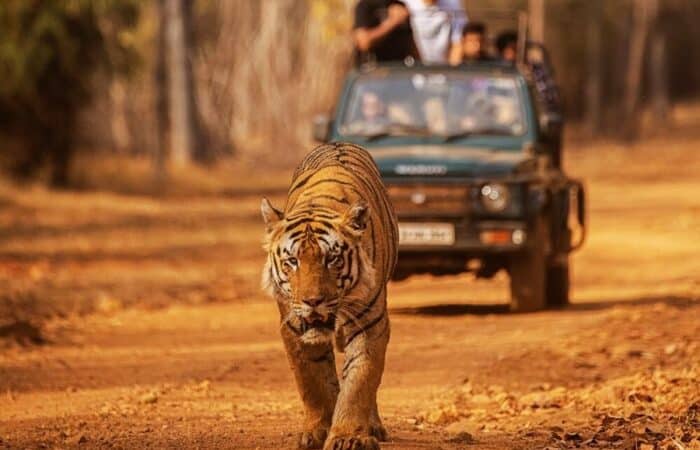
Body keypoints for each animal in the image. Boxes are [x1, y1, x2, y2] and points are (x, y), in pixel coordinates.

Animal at [261, 142, 398, 450]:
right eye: (293, 261)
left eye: (332, 259)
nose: (313, 301)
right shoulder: (292, 325)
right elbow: (312, 381)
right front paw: (317, 431)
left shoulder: (370, 323)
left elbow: (360, 381)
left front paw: (348, 436)